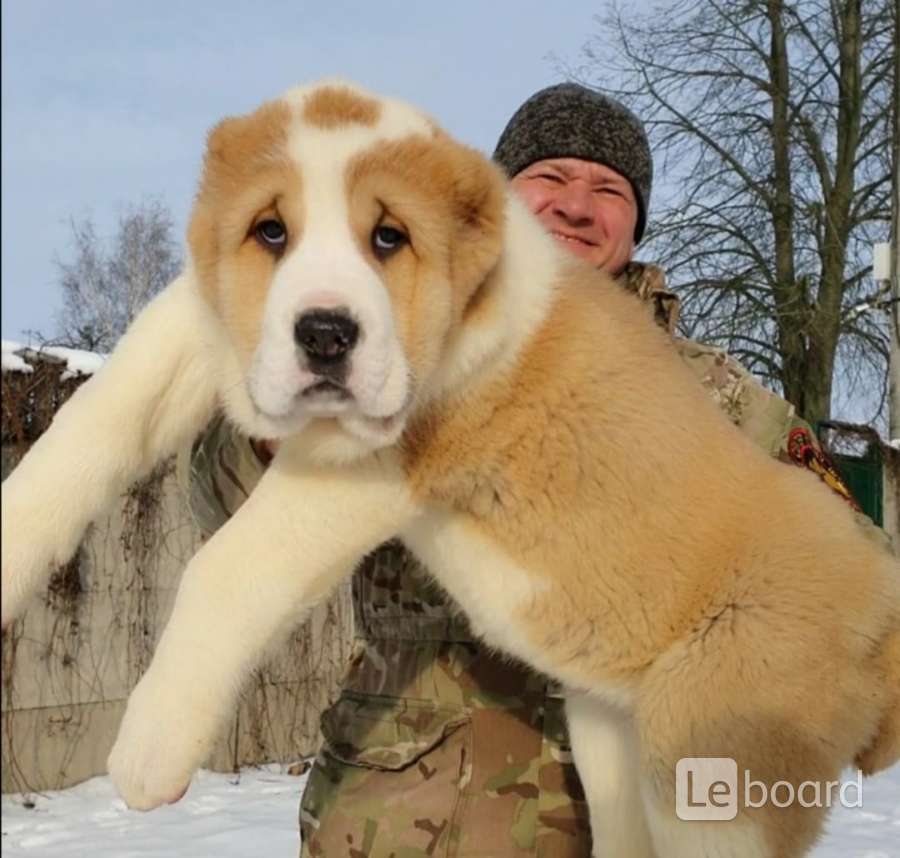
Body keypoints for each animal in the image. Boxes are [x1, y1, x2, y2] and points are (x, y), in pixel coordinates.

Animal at [1, 80, 900, 856]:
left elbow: (223, 566)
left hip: (714, 765)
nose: (324, 334)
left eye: (388, 238)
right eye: (270, 232)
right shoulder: (200, 325)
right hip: (615, 743)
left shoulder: (367, 457)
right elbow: (91, 422)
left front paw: (147, 751)